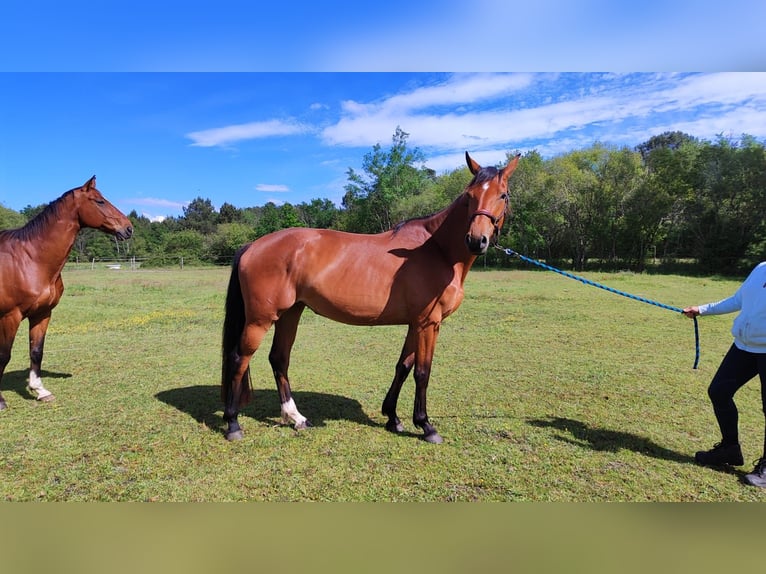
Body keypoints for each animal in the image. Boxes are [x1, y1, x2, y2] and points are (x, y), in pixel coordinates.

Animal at [0, 178, 134, 412]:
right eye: (99, 201)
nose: (128, 228)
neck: (31, 259)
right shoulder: (10, 316)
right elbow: (4, 355)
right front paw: (0, 400)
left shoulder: (42, 314)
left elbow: (36, 351)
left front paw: (40, 391)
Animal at [222, 153, 520, 446]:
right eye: (469, 195)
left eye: (502, 195)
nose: (476, 240)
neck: (438, 250)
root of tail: (253, 245)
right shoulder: (429, 323)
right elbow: (422, 372)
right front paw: (426, 425)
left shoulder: (415, 324)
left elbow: (403, 366)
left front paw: (393, 417)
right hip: (260, 319)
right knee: (239, 358)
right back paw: (233, 423)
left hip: (290, 313)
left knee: (279, 358)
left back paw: (296, 418)